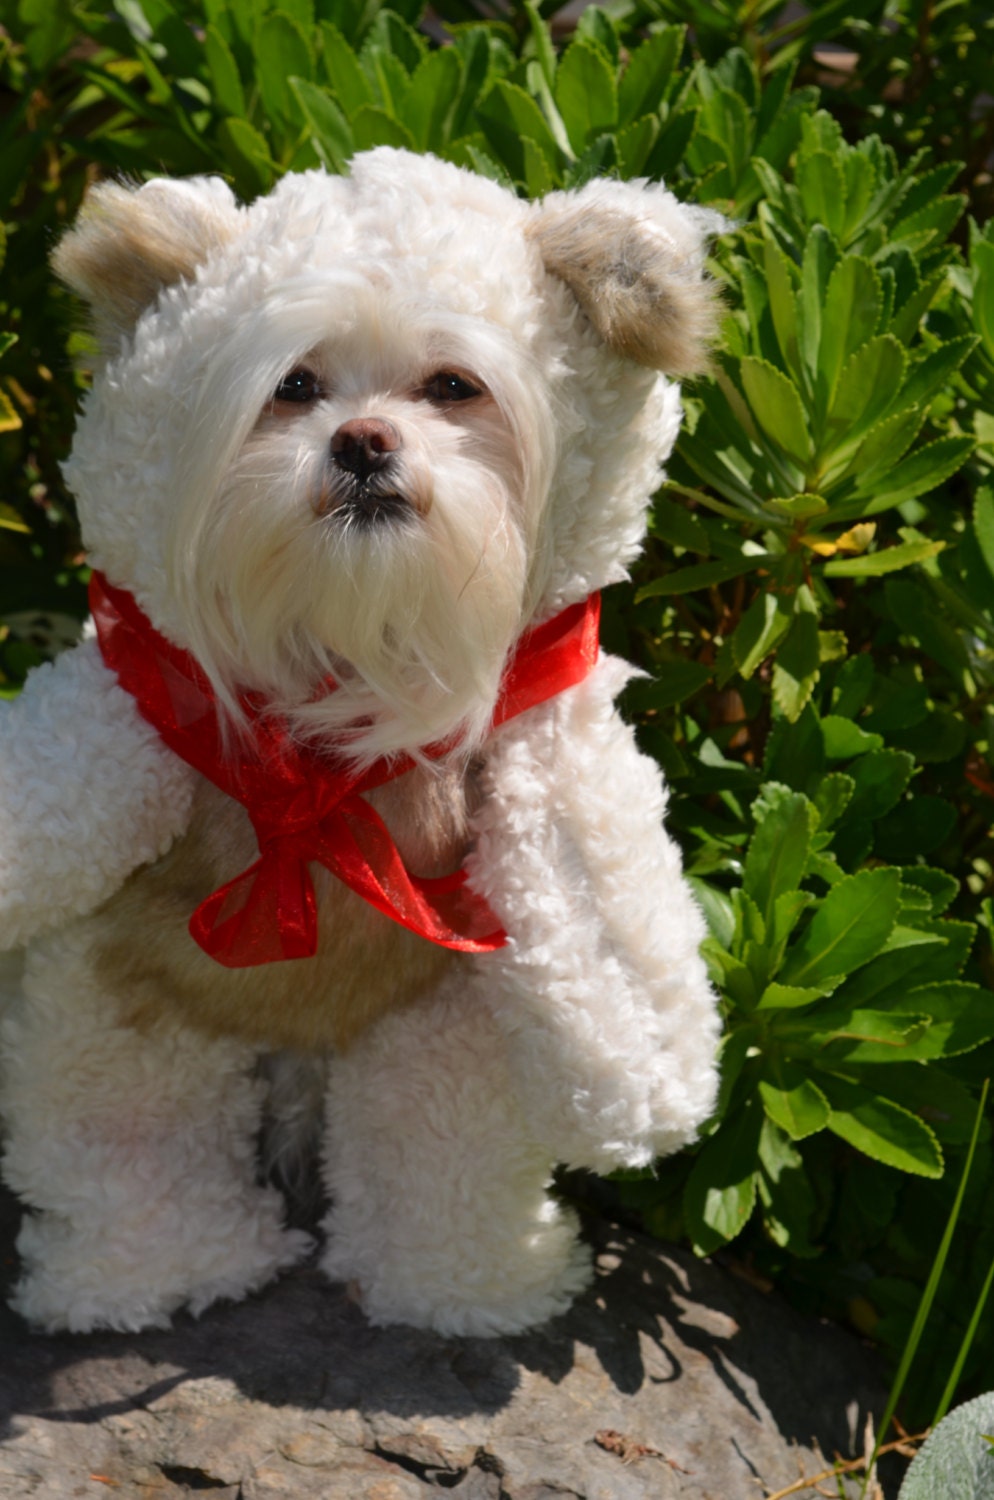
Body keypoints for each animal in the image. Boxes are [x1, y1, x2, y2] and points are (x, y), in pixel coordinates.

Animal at [0, 149, 719, 1338]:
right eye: (293, 387)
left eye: (452, 387)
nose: (364, 442)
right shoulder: (133, 708)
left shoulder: (543, 733)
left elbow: (609, 900)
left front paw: (650, 1084)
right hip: (107, 1013)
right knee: (121, 1126)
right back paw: (152, 1276)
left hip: (451, 1028)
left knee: (438, 1143)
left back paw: (467, 1288)